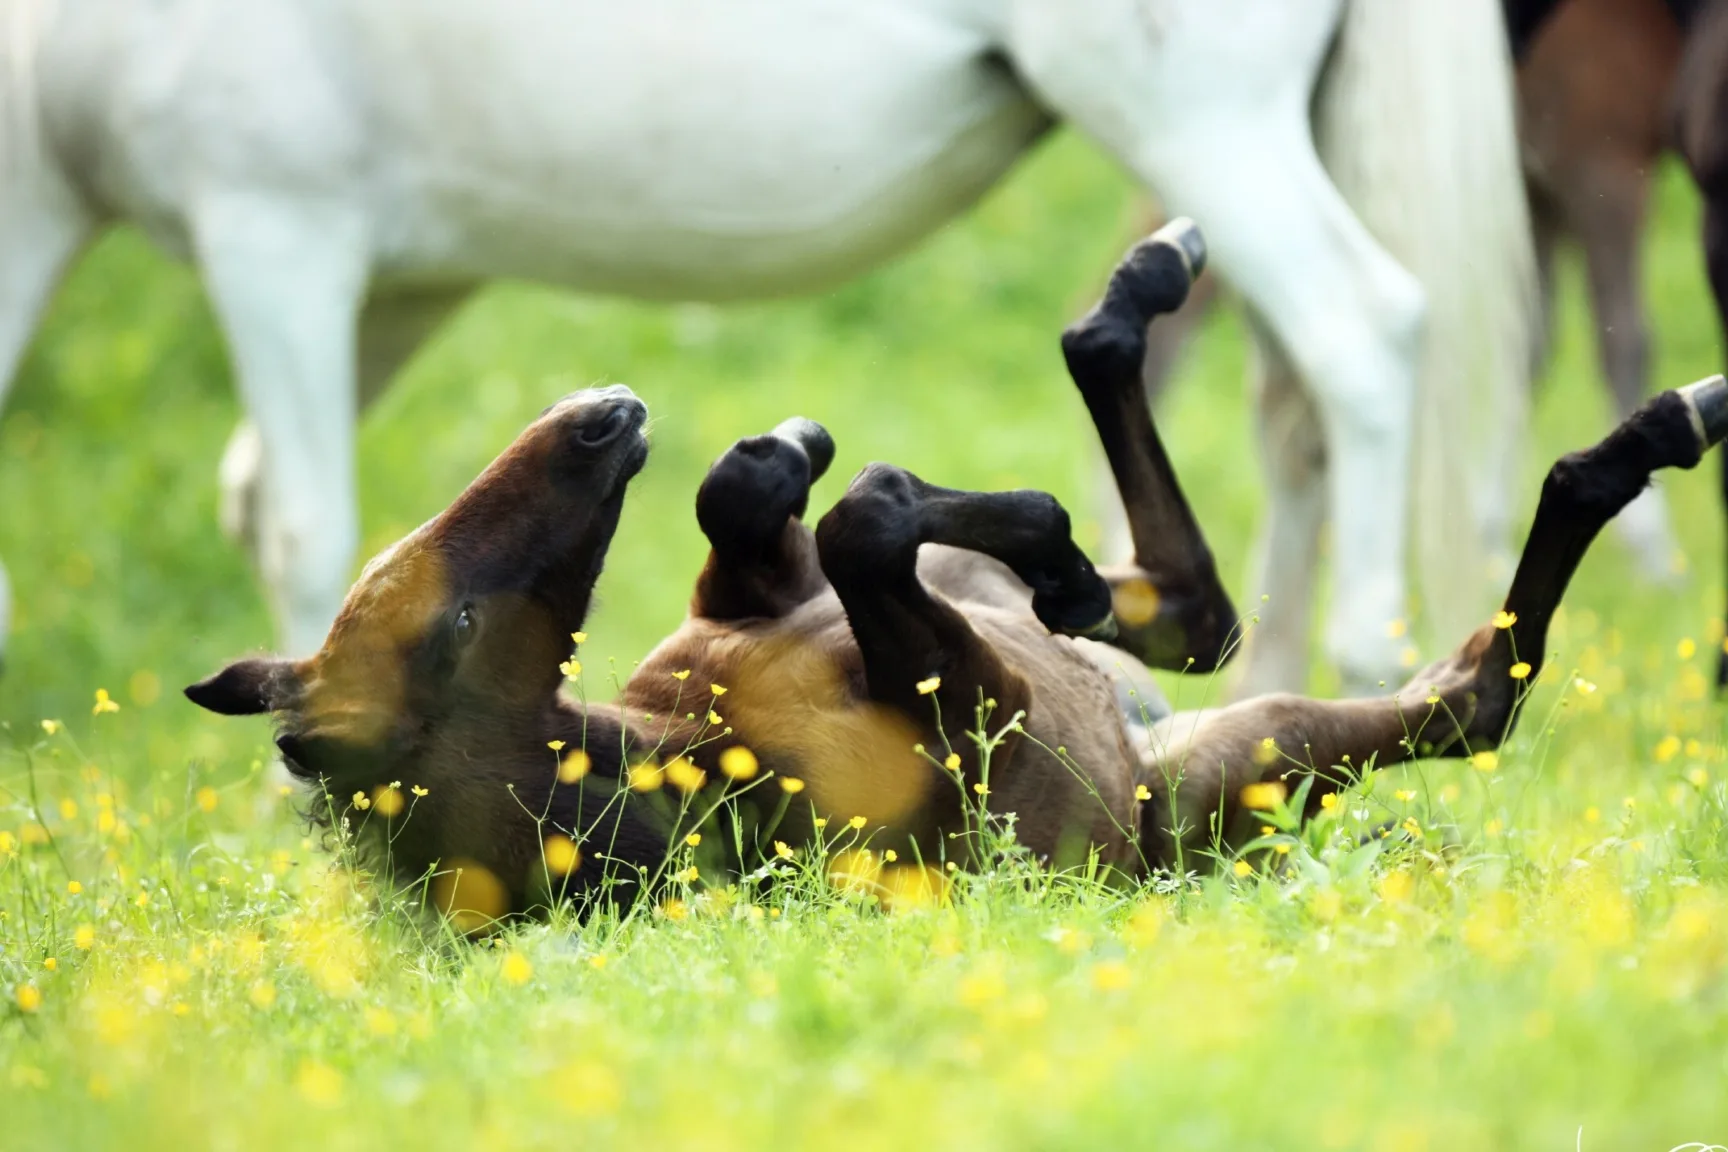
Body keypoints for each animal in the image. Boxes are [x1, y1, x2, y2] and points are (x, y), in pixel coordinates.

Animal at [6, 0, 1534, 694]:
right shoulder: (399, 280)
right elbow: (279, 501)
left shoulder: (276, 225)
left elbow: (302, 523)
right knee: (1286, 409)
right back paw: (1269, 688)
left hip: (1196, 116)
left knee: (1359, 339)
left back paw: (1359, 668)